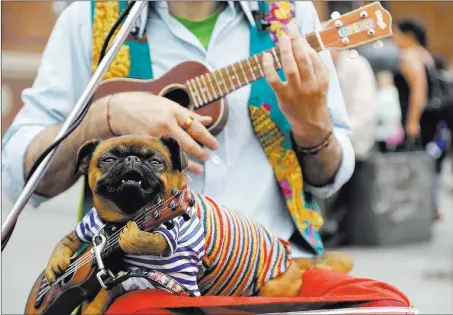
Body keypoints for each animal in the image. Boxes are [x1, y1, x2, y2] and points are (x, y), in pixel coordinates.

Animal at [43, 136, 354, 315]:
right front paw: (56, 264)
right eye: (107, 159)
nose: (131, 158)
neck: (122, 218)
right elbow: (73, 241)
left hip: (273, 289)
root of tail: (292, 260)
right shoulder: (96, 229)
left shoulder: (170, 277)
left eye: (155, 161)